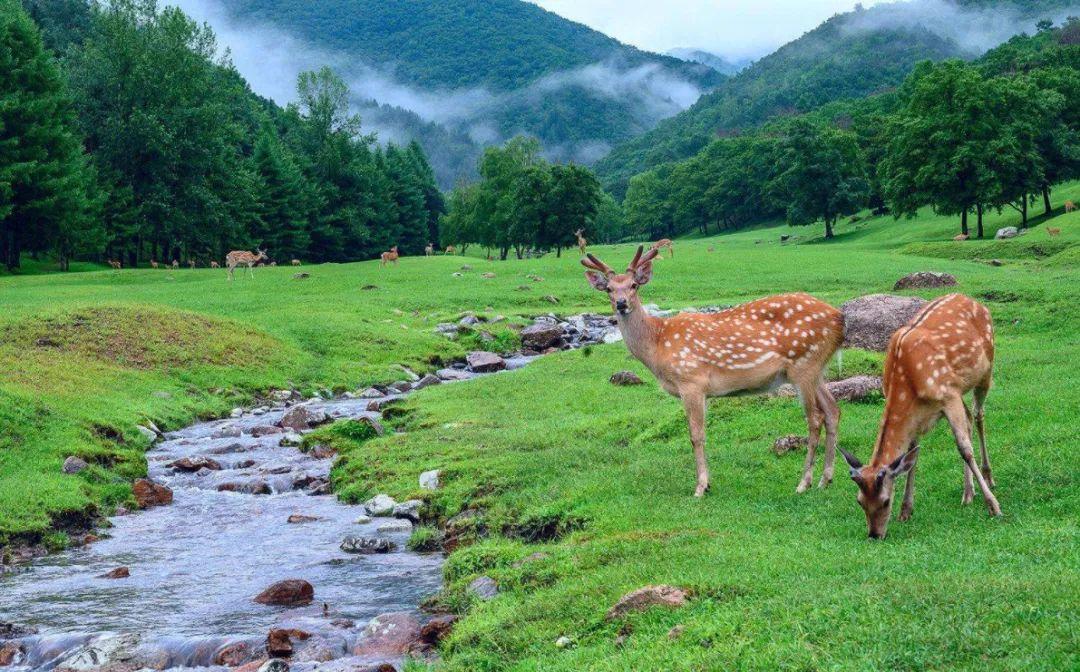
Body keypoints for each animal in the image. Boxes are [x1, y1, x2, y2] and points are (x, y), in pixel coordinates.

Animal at [583, 245, 842, 496]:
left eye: (634, 285)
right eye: (608, 289)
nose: (621, 303)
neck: (657, 346)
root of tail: (839, 318)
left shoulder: (691, 381)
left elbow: (695, 436)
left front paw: (701, 487)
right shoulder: (703, 391)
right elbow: (702, 434)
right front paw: (707, 483)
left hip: (804, 364)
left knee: (815, 418)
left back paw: (804, 483)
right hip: (816, 369)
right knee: (833, 411)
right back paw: (825, 479)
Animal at [838, 293, 997, 542]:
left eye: (885, 501)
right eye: (859, 501)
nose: (874, 535)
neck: (908, 383)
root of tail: (973, 300)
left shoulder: (948, 396)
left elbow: (964, 449)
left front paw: (993, 506)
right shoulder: (920, 414)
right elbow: (913, 456)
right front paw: (906, 511)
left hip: (985, 370)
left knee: (978, 415)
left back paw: (989, 478)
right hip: (960, 389)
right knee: (970, 420)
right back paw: (968, 493)